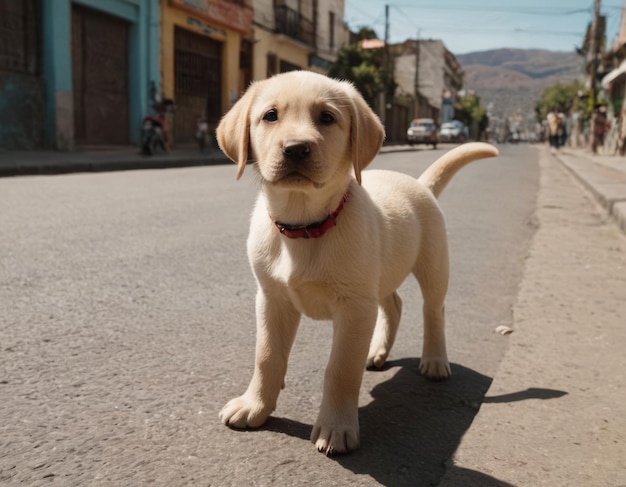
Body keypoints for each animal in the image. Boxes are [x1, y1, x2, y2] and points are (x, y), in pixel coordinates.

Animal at [216, 70, 498, 456]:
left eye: (327, 118)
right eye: (270, 116)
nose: (296, 148)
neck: (305, 226)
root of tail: (419, 184)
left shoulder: (354, 308)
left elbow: (340, 370)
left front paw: (336, 427)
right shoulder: (272, 299)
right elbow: (267, 356)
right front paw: (254, 406)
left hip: (433, 265)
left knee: (433, 310)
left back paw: (435, 360)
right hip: (377, 276)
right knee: (394, 303)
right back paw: (377, 350)